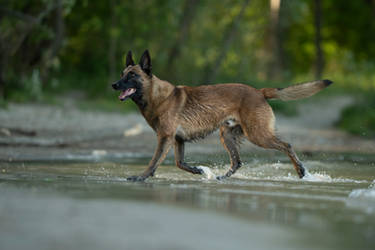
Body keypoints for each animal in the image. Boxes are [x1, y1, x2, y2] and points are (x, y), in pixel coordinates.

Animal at [111, 49, 332, 181]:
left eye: (132, 75)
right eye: (122, 74)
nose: (113, 84)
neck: (157, 96)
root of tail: (259, 91)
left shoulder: (165, 138)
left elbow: (154, 161)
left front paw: (141, 177)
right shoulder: (177, 140)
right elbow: (179, 163)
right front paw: (198, 170)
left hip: (258, 135)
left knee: (287, 145)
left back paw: (301, 172)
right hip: (227, 135)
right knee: (237, 162)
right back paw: (221, 178)